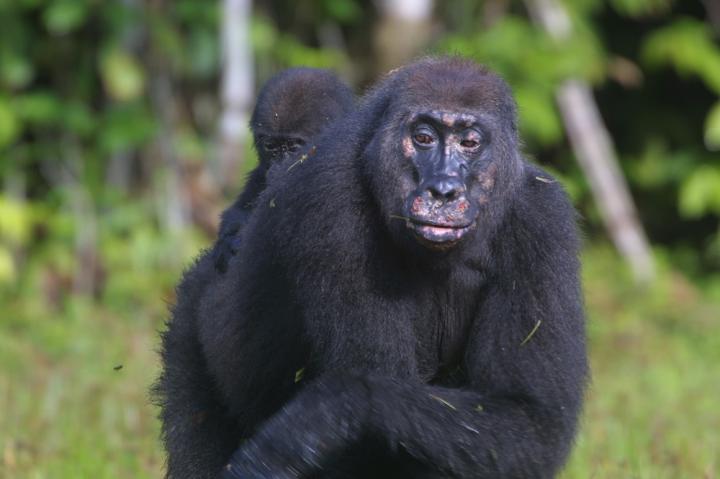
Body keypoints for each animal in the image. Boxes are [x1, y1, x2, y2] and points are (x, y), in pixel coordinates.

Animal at [156, 57, 584, 479]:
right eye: (424, 138)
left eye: (470, 143)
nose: (443, 191)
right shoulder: (330, 200)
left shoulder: (544, 218)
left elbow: (528, 421)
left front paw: (328, 411)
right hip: (187, 323)